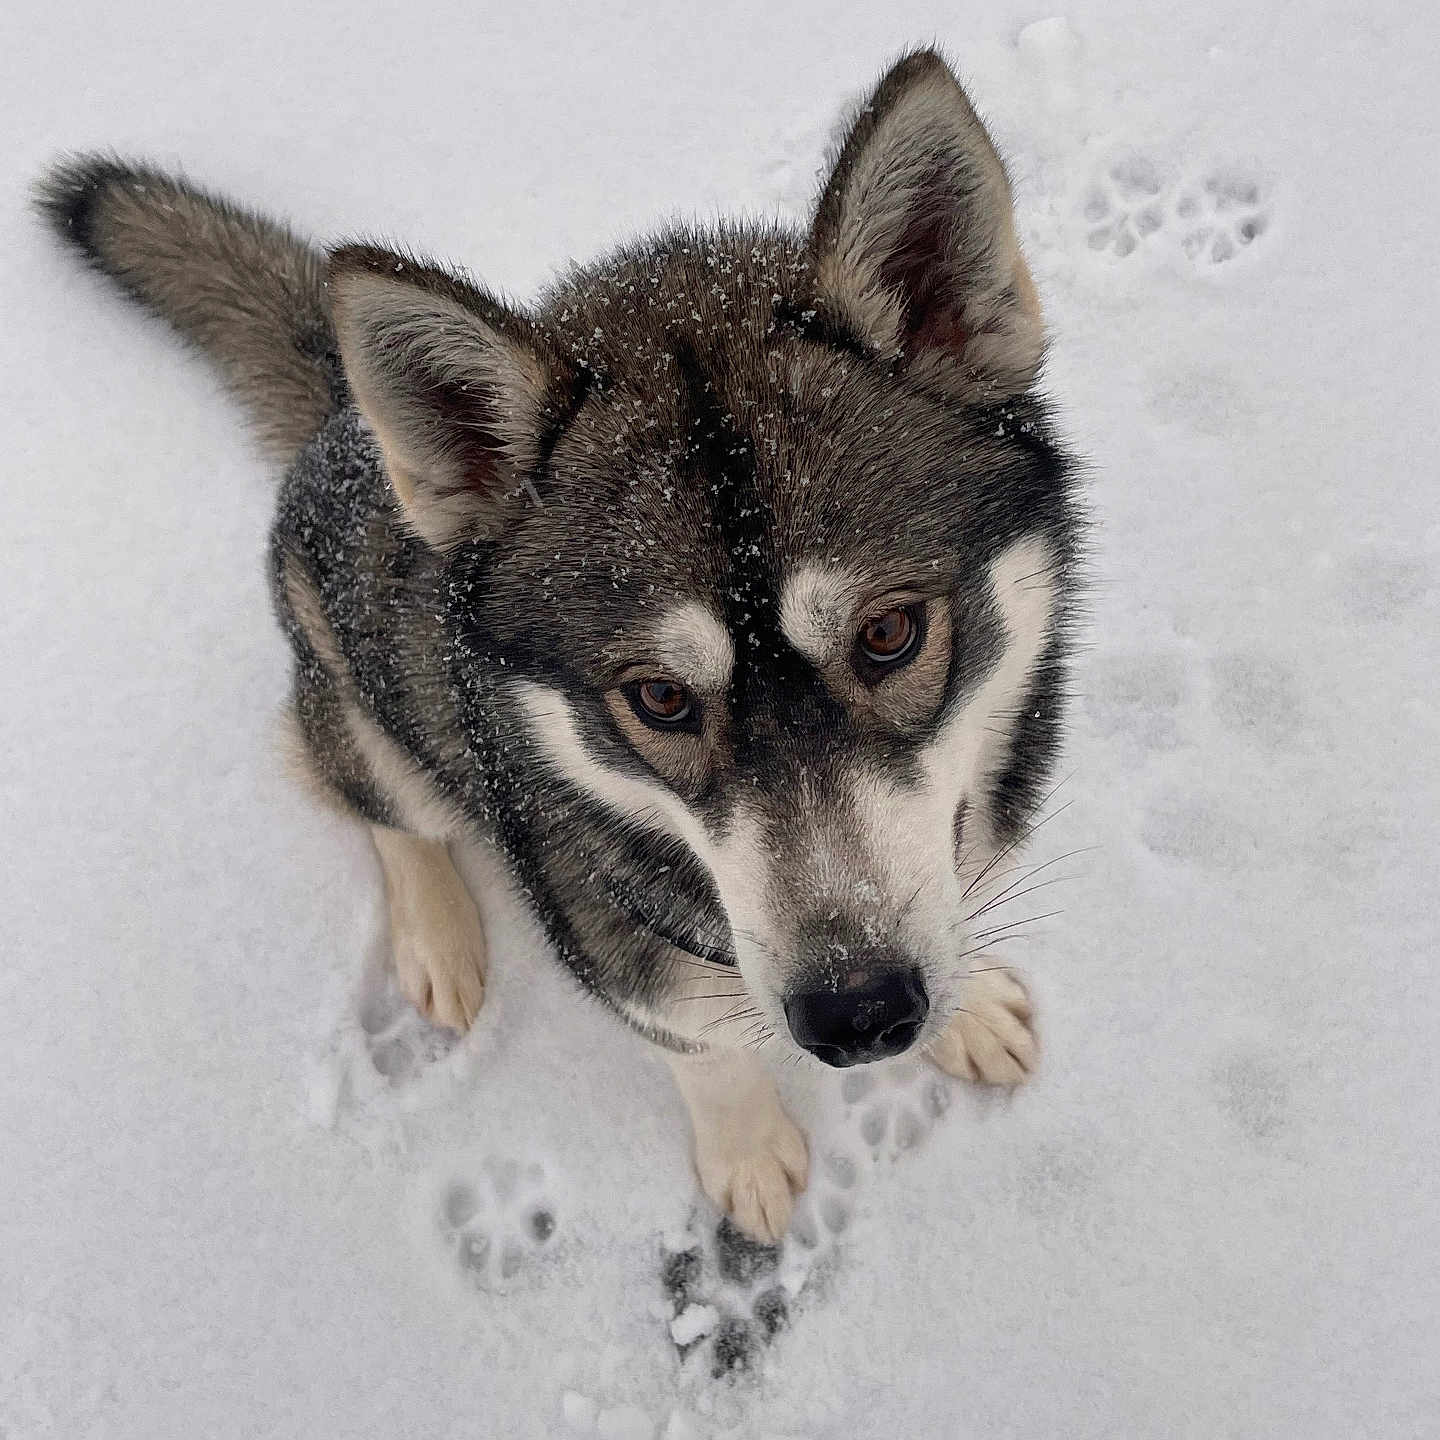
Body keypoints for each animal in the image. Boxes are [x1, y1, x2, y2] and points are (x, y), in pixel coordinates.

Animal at [37, 48, 1082, 1243]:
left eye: (888, 633)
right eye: (660, 699)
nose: (859, 1013)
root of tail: (341, 420)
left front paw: (966, 1008)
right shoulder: (608, 929)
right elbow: (701, 1046)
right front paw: (747, 1148)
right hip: (363, 696)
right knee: (380, 804)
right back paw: (438, 937)